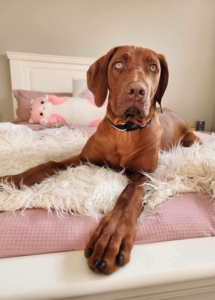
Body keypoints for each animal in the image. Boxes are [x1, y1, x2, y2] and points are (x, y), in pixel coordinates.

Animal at [1, 45, 202, 274]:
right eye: (118, 64)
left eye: (153, 67)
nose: (137, 90)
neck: (125, 131)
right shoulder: (84, 158)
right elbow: (49, 163)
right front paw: (12, 180)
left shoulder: (144, 175)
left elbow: (129, 196)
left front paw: (112, 236)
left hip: (193, 140)